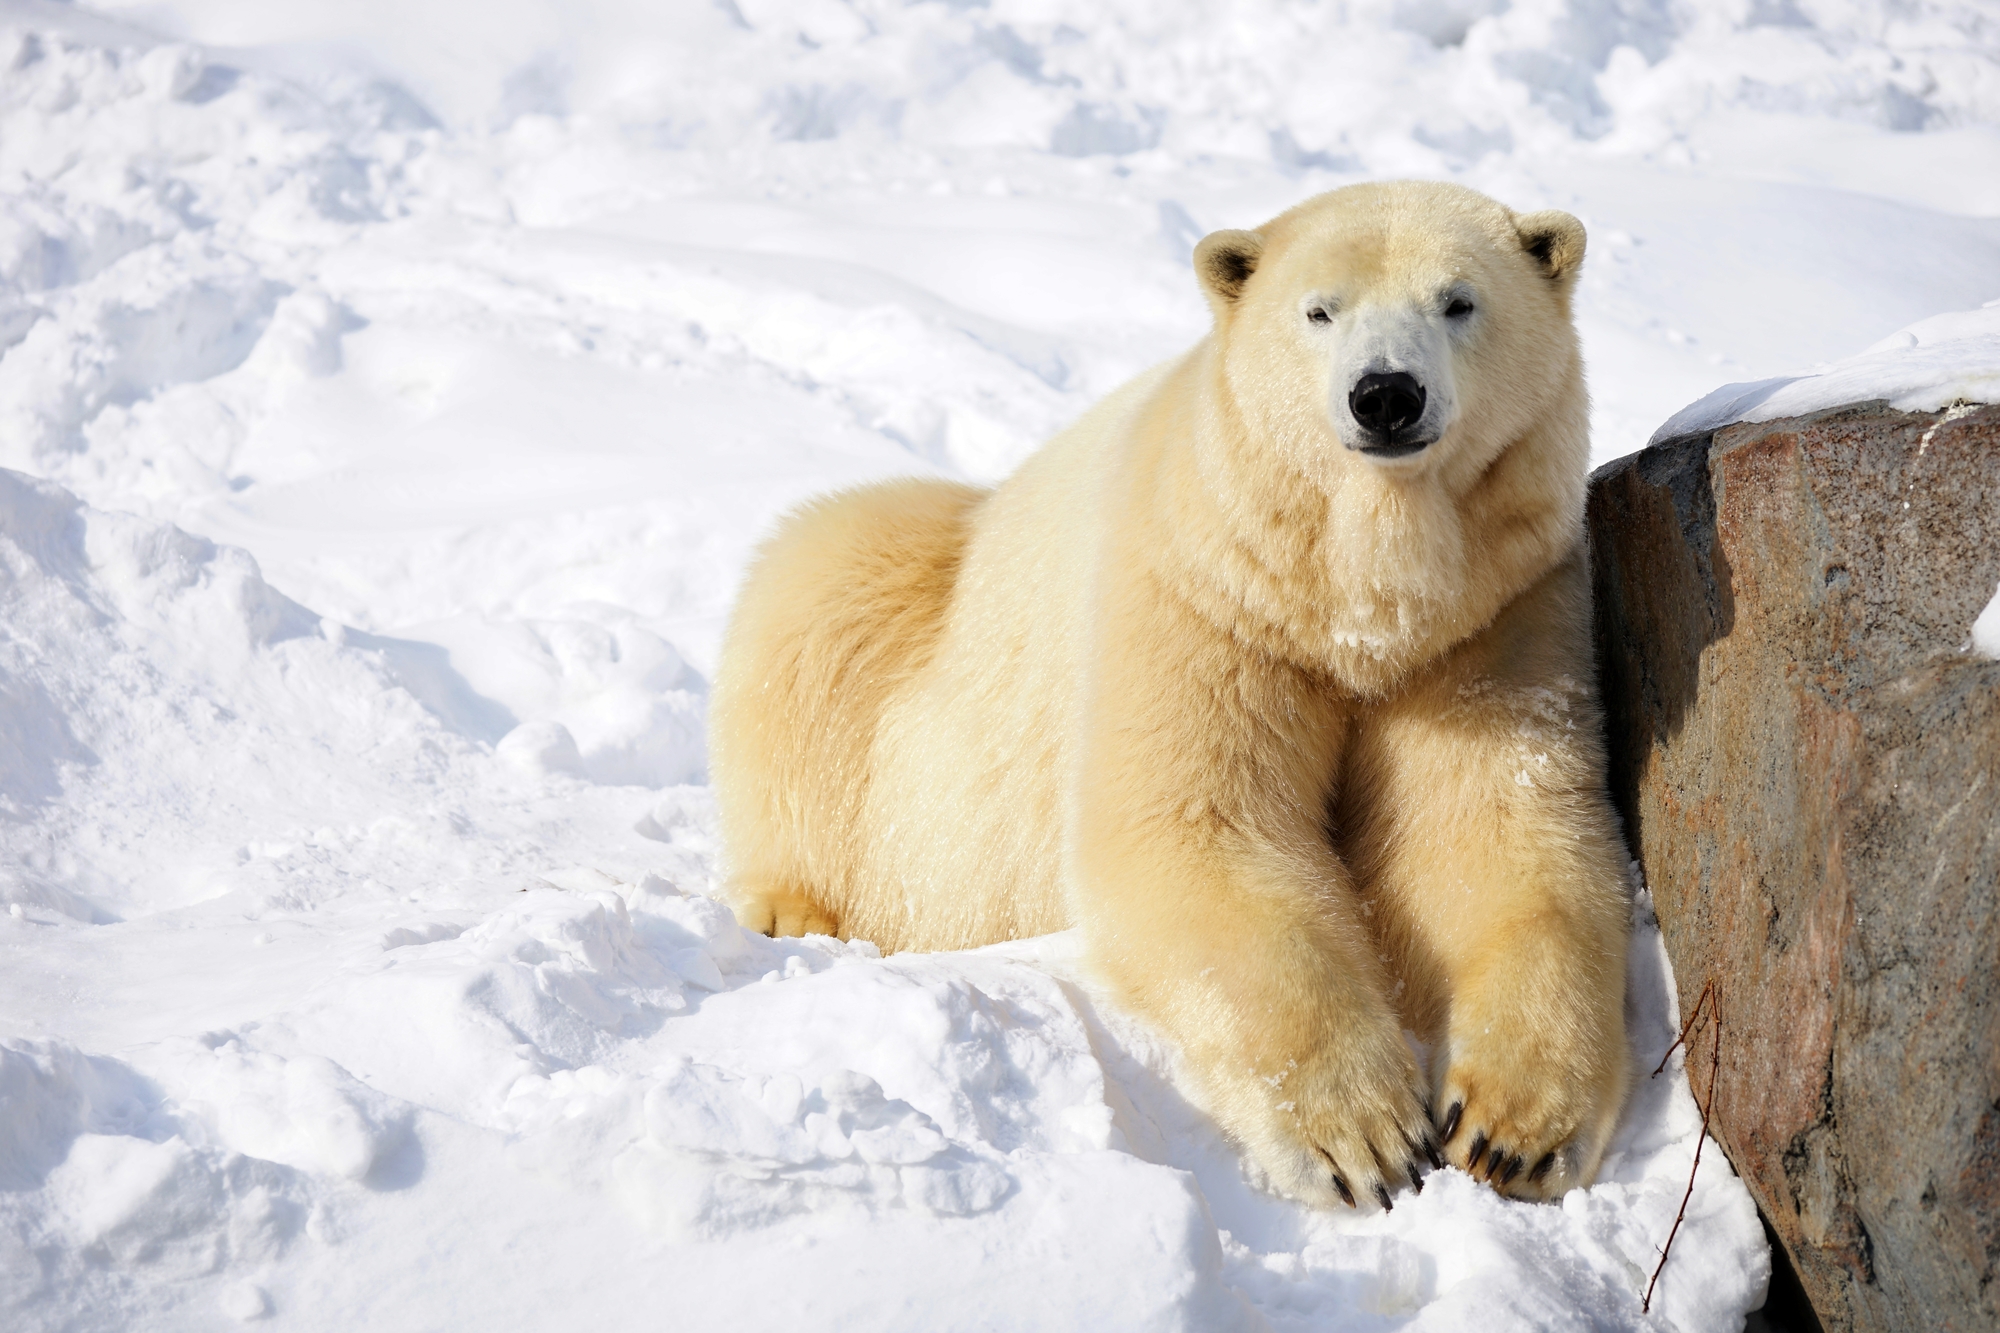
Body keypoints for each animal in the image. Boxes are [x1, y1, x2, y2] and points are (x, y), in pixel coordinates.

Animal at [712, 182, 1632, 1208]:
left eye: (1459, 301)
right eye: (1318, 311)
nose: (1386, 395)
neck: (1355, 608)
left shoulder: (1492, 622)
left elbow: (1498, 834)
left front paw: (1511, 1133)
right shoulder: (1202, 599)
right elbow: (1196, 827)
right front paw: (1366, 1138)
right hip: (904, 626)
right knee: (821, 586)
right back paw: (793, 910)